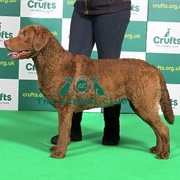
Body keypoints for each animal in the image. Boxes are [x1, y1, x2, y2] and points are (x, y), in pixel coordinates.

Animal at [3, 25, 174, 159]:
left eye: (24, 35)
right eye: (20, 33)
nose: (4, 41)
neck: (53, 62)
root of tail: (154, 68)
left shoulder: (64, 108)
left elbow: (63, 132)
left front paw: (59, 153)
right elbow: (64, 130)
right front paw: (58, 148)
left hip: (144, 104)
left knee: (164, 129)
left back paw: (164, 154)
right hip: (142, 105)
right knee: (157, 129)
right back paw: (156, 150)